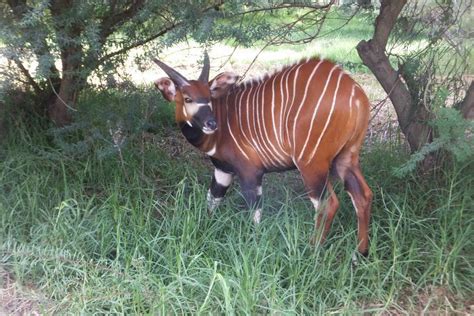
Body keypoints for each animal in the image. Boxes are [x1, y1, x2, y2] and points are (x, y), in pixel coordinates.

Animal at [154, 51, 372, 254]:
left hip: (311, 164)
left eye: (208, 97)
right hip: (347, 157)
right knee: (363, 195)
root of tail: (356, 95)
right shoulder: (223, 170)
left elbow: (255, 211)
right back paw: (361, 253)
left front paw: (255, 245)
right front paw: (205, 230)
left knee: (327, 205)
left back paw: (312, 251)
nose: (211, 123)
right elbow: (213, 199)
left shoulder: (250, 171)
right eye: (187, 98)